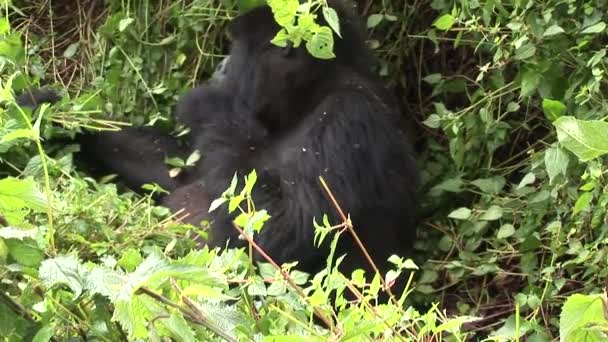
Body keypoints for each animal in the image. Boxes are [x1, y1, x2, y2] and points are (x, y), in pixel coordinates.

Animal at [19, 1, 420, 284]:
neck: (309, 94)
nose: (222, 66)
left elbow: (284, 226)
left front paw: (207, 101)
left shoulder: (349, 117)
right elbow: (180, 172)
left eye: (236, 49)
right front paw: (51, 116)